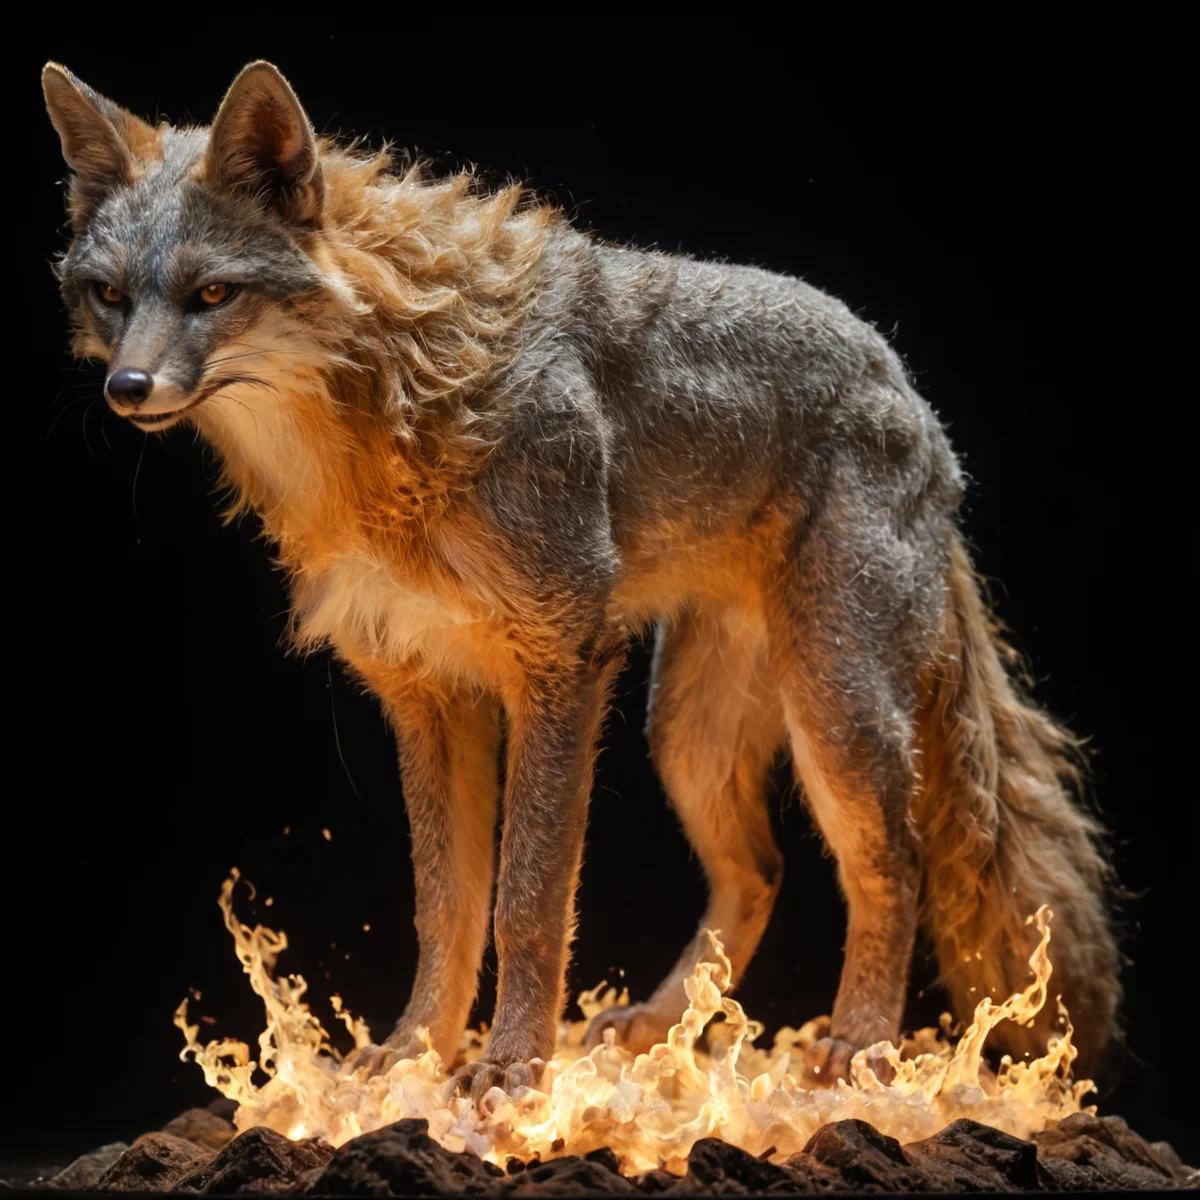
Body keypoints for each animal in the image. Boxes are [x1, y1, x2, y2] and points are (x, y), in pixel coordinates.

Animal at [43, 60, 1121, 1102]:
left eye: (211, 297)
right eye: (108, 295)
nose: (126, 389)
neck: (390, 407)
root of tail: (910, 393)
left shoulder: (560, 664)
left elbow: (526, 902)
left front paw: (513, 1069)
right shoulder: (425, 691)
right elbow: (446, 908)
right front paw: (415, 1056)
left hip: (834, 712)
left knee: (893, 866)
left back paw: (859, 1045)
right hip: (685, 737)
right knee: (761, 872)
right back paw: (660, 1029)